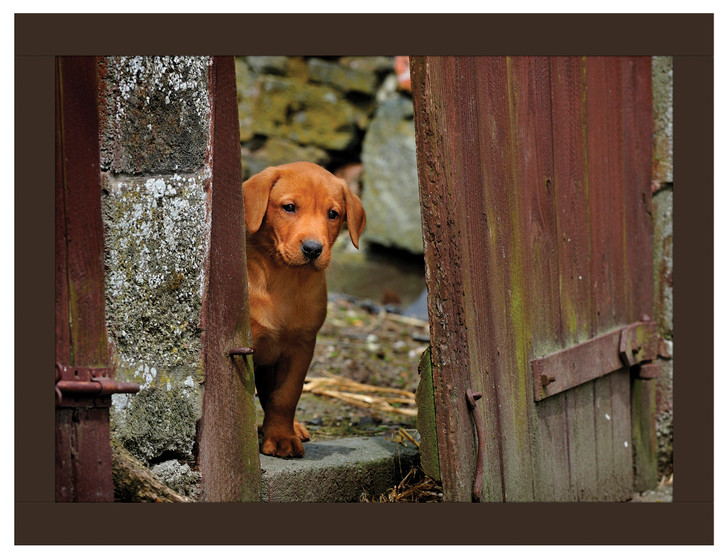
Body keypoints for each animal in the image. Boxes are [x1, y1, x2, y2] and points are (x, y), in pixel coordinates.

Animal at [243, 162, 366, 460]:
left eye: (333, 214)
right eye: (289, 208)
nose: (312, 249)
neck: (284, 279)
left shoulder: (301, 346)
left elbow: (286, 395)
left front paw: (281, 437)